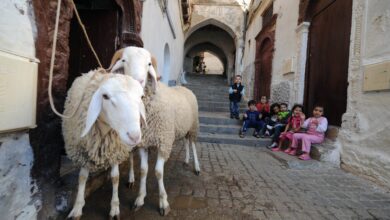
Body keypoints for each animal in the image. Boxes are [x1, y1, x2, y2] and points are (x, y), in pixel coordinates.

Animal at [62, 68, 146, 218]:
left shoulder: (115, 151)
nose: (135, 136)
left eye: (141, 97)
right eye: (105, 96)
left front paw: (115, 208)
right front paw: (77, 208)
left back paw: (131, 179)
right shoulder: (83, 152)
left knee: (132, 158)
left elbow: (115, 177)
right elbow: (82, 178)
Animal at [109, 47, 201, 216]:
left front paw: (163, 203)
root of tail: (183, 87)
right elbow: (144, 170)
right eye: (124, 60)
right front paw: (140, 198)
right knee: (185, 142)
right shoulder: (144, 143)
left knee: (192, 144)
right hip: (183, 127)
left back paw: (197, 167)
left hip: (193, 126)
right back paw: (186, 160)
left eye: (149, 64)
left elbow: (158, 172)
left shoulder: (163, 142)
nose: (138, 81)